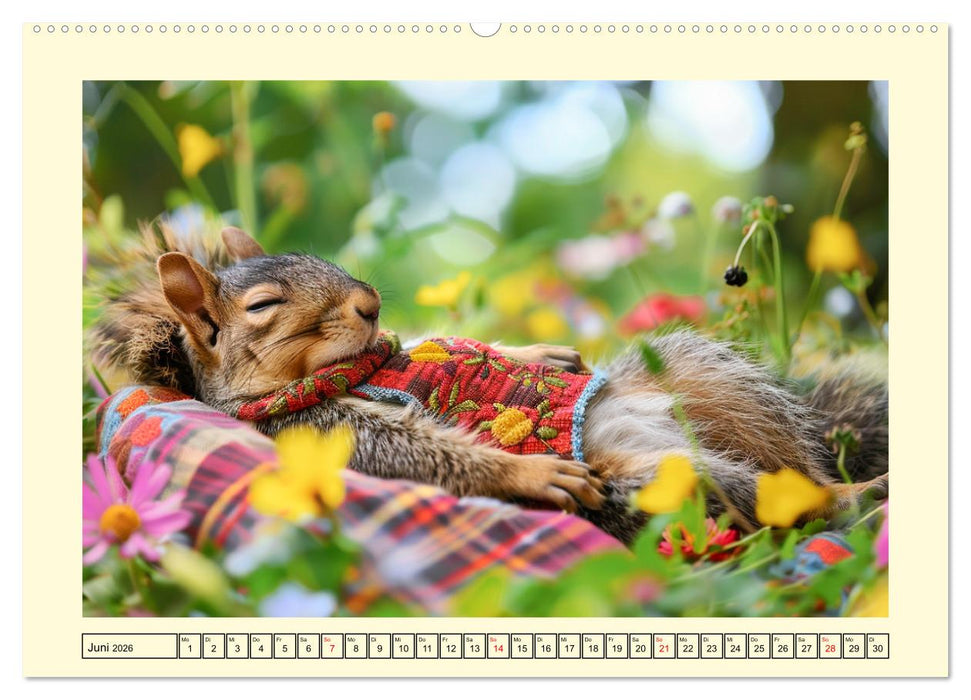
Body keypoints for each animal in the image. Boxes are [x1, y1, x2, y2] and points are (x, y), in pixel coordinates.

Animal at [88, 223, 889, 544]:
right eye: (261, 307)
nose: (369, 302)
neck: (345, 370)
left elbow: (437, 339)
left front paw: (543, 351)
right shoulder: (318, 431)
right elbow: (423, 454)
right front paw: (532, 473)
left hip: (709, 386)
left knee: (791, 462)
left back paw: (852, 480)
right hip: (666, 480)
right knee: (783, 502)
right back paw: (860, 496)